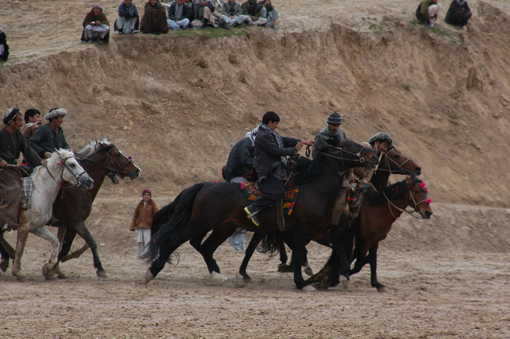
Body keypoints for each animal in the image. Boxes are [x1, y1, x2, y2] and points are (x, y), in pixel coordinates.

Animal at [11, 150, 93, 282]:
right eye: (72, 164)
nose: (89, 180)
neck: (39, 192)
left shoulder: (37, 227)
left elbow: (57, 242)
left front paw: (48, 268)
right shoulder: (24, 226)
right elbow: (20, 248)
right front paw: (18, 272)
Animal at [51, 139, 141, 280]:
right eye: (117, 154)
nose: (137, 170)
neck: (80, 189)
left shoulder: (69, 224)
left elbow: (66, 247)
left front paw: (56, 267)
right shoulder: (75, 222)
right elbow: (90, 242)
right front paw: (100, 268)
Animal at [143, 139, 378, 290]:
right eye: (348, 145)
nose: (374, 156)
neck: (313, 187)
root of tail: (204, 186)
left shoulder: (317, 232)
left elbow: (338, 246)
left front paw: (344, 274)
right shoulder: (300, 231)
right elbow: (299, 253)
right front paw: (301, 283)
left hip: (223, 227)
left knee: (206, 248)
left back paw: (220, 277)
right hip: (200, 223)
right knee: (173, 240)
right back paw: (151, 272)